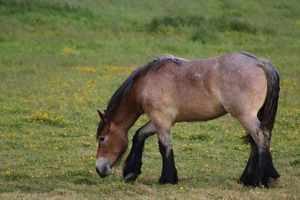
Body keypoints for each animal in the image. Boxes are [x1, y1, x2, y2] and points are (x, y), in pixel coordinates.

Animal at [95, 52, 280, 188]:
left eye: (102, 138)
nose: (99, 169)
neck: (145, 83)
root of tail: (260, 63)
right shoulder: (160, 121)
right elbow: (139, 135)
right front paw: (131, 172)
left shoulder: (161, 120)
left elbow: (164, 147)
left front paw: (167, 179)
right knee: (255, 142)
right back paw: (248, 180)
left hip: (245, 115)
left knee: (261, 137)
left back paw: (268, 178)